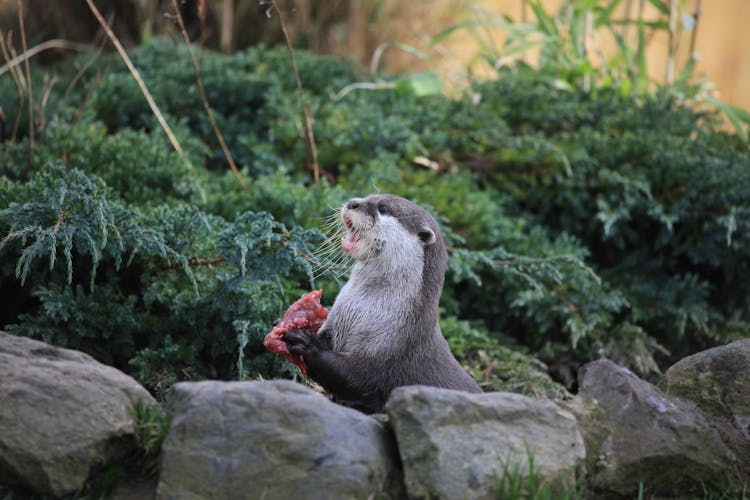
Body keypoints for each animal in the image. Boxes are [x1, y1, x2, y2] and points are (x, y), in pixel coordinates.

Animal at [284, 195, 484, 414]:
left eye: (384, 208)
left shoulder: (392, 353)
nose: (353, 202)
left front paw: (308, 343)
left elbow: (356, 378)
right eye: (367, 196)